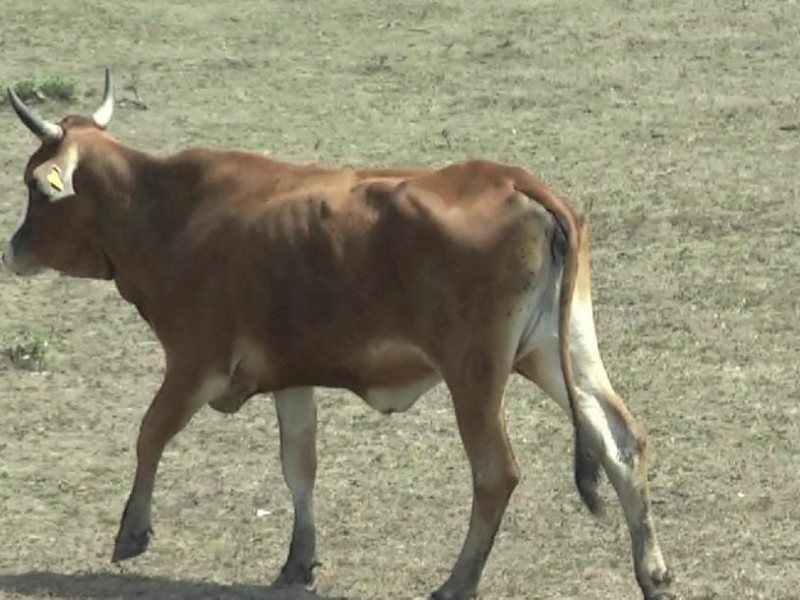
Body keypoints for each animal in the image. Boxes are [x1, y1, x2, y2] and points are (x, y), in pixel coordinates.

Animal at [3, 71, 672, 600]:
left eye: (36, 186)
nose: (13, 250)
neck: (164, 209)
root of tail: (512, 180)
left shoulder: (195, 363)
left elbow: (150, 434)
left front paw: (132, 531)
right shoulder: (290, 376)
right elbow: (298, 465)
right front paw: (298, 561)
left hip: (474, 372)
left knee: (495, 472)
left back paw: (458, 582)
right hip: (558, 353)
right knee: (620, 441)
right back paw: (653, 574)